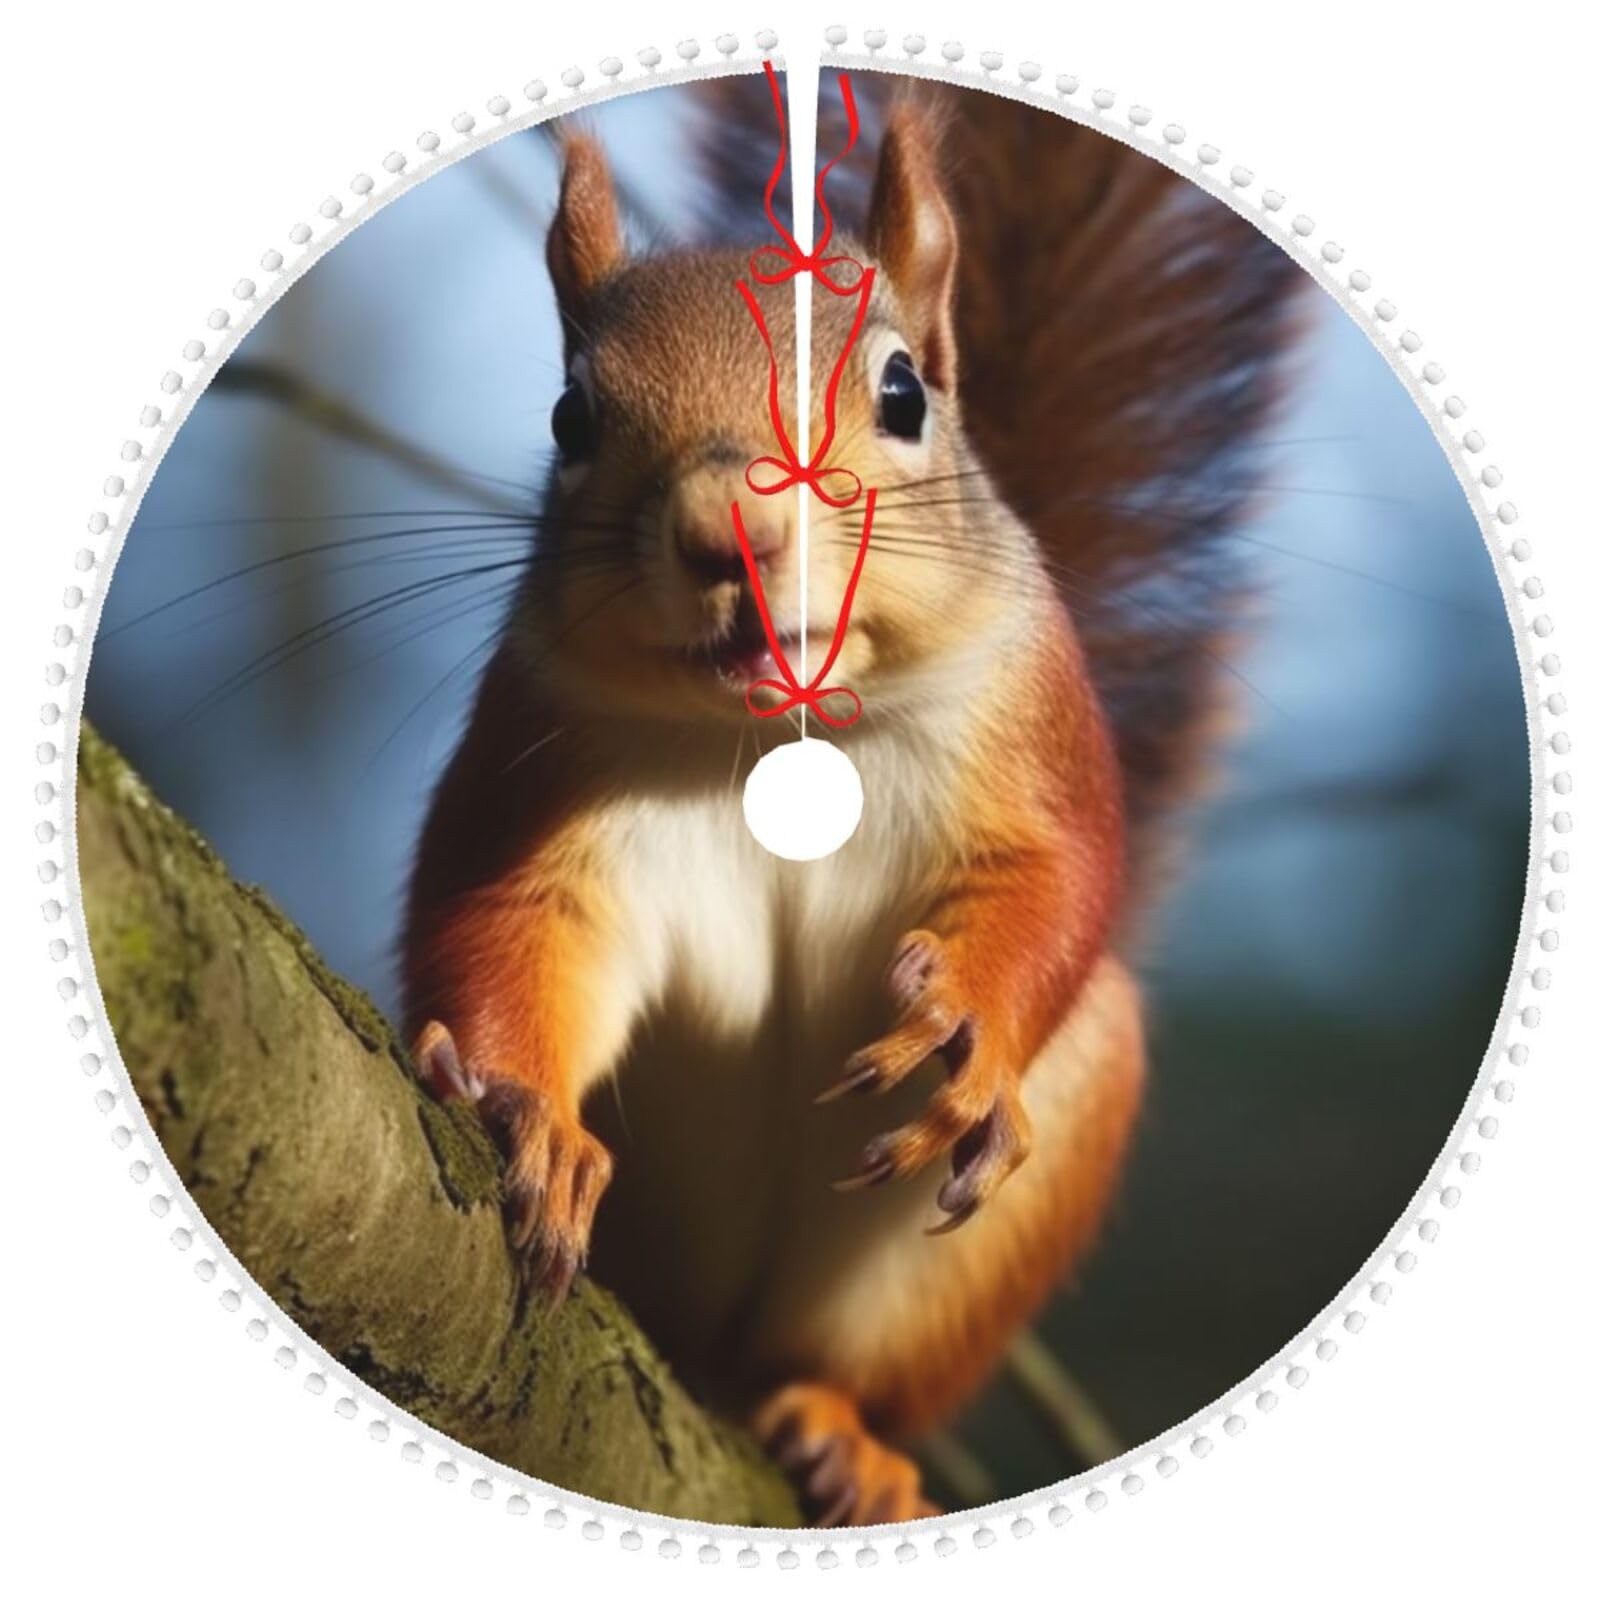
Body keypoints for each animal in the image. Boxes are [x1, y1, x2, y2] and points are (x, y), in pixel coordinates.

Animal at [402, 73, 1306, 1525]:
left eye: (901, 391)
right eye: (568, 419)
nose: (731, 528)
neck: (776, 731)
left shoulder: (1033, 734)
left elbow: (1059, 877)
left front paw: (965, 1017)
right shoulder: (536, 765)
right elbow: (506, 925)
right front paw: (532, 1116)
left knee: (832, 1365)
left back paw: (849, 1442)